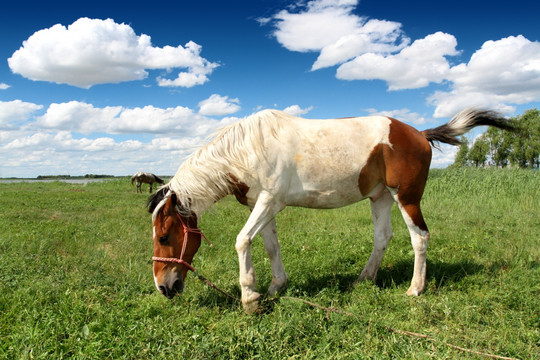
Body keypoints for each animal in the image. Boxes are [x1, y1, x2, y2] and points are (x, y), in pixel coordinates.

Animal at [148, 107, 516, 312]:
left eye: (165, 237)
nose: (164, 287)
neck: (247, 150)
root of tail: (418, 134)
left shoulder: (268, 202)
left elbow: (242, 241)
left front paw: (250, 297)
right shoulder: (262, 205)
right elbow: (269, 246)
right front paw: (275, 287)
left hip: (406, 197)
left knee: (420, 238)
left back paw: (415, 289)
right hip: (380, 197)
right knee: (383, 237)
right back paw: (363, 280)